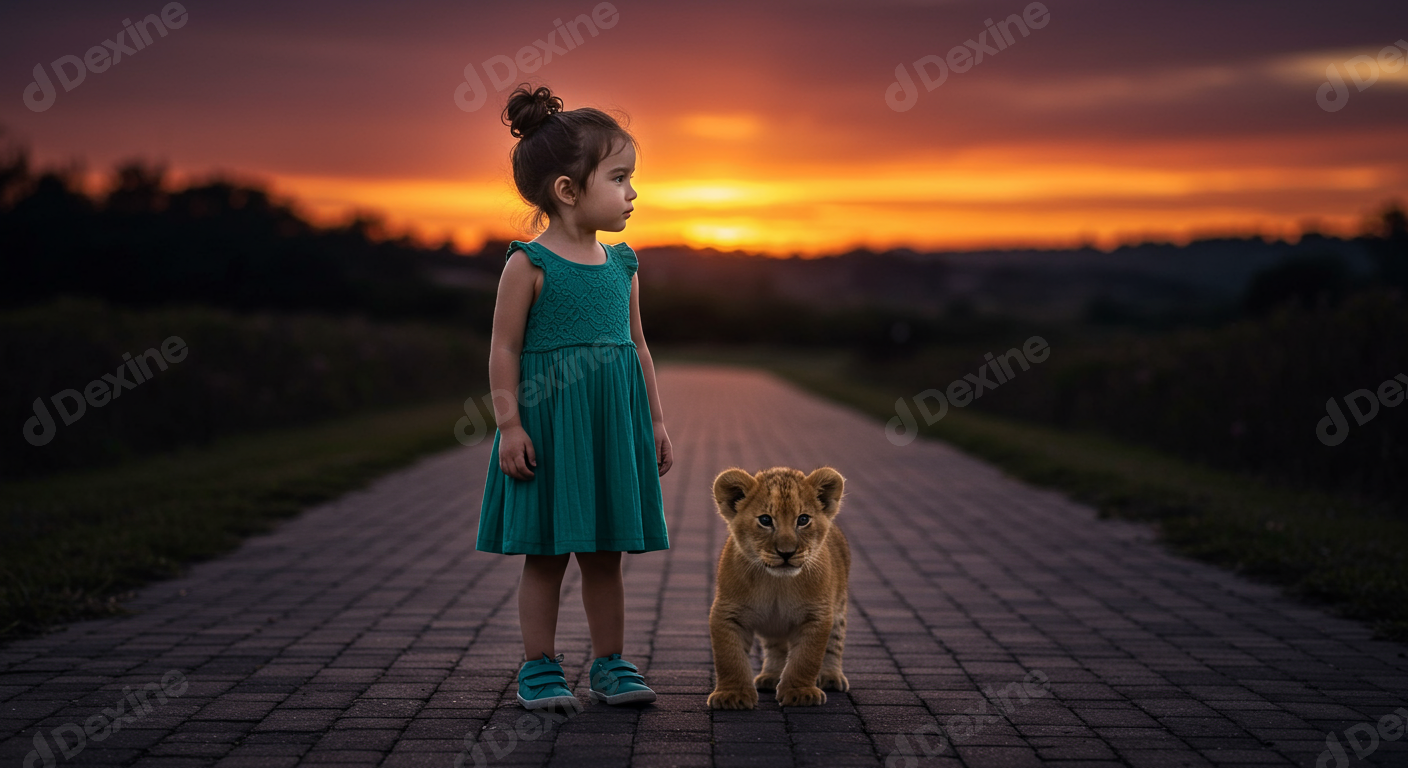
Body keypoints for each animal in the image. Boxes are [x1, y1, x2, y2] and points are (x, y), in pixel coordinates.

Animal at [706, 466, 851, 709]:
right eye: (765, 520)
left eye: (803, 519)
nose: (786, 552)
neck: (777, 584)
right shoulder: (727, 612)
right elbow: (729, 657)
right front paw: (732, 695)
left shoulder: (817, 614)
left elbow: (806, 658)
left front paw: (800, 693)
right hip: (772, 624)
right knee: (775, 647)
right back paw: (770, 676)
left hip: (839, 607)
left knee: (834, 643)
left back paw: (831, 677)